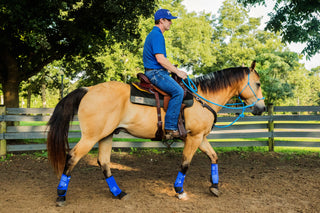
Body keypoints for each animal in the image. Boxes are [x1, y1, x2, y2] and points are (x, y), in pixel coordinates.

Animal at [45, 60, 264, 206]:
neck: (203, 98)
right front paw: (179, 191)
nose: (261, 108)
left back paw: (119, 193)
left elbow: (214, 157)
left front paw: (215, 187)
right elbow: (185, 164)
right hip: (91, 137)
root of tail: (88, 89)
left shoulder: (200, 137)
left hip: (106, 135)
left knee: (104, 162)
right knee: (72, 157)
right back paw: (61, 195)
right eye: (258, 84)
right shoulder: (193, 138)